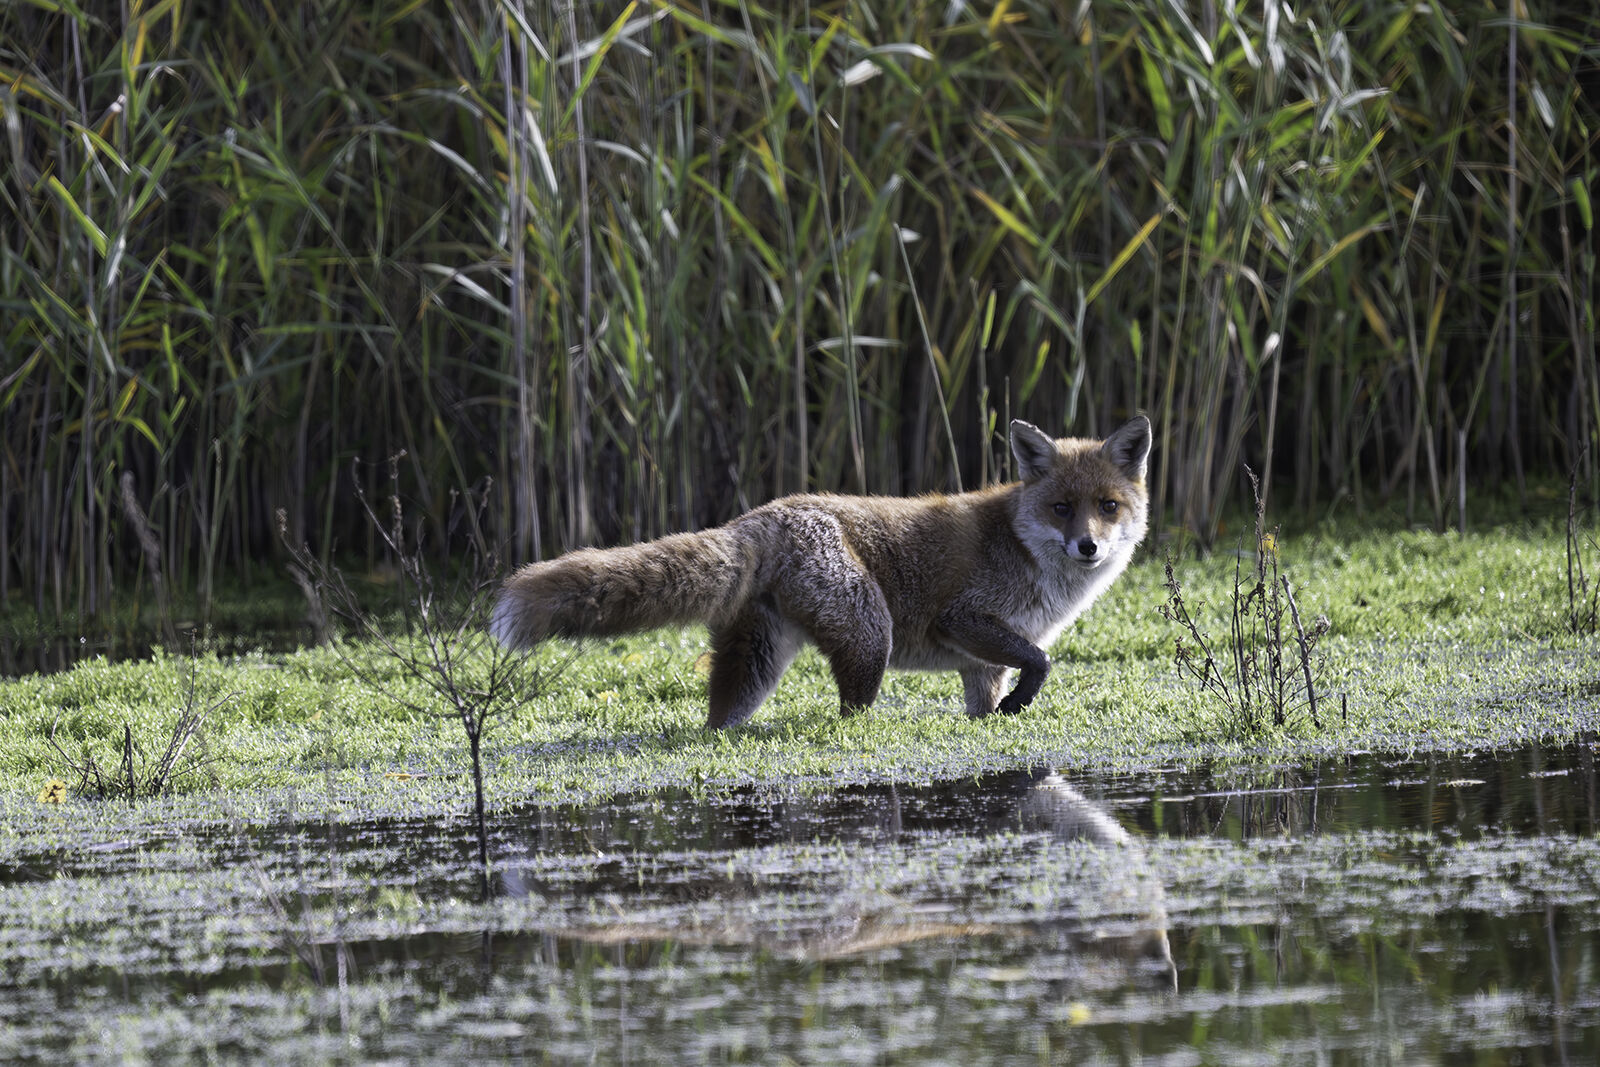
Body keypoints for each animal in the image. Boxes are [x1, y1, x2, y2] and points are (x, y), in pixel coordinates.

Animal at [491, 415, 1152, 728]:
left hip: (756, 664)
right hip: (870, 637)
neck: (1021, 549)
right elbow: (1042, 661)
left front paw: (1003, 717)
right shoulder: (963, 618)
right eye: (1061, 507)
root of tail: (760, 517)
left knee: (720, 719)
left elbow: (996, 694)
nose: (1088, 547)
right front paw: (1022, 704)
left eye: (1107, 507)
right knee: (849, 715)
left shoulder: (981, 665)